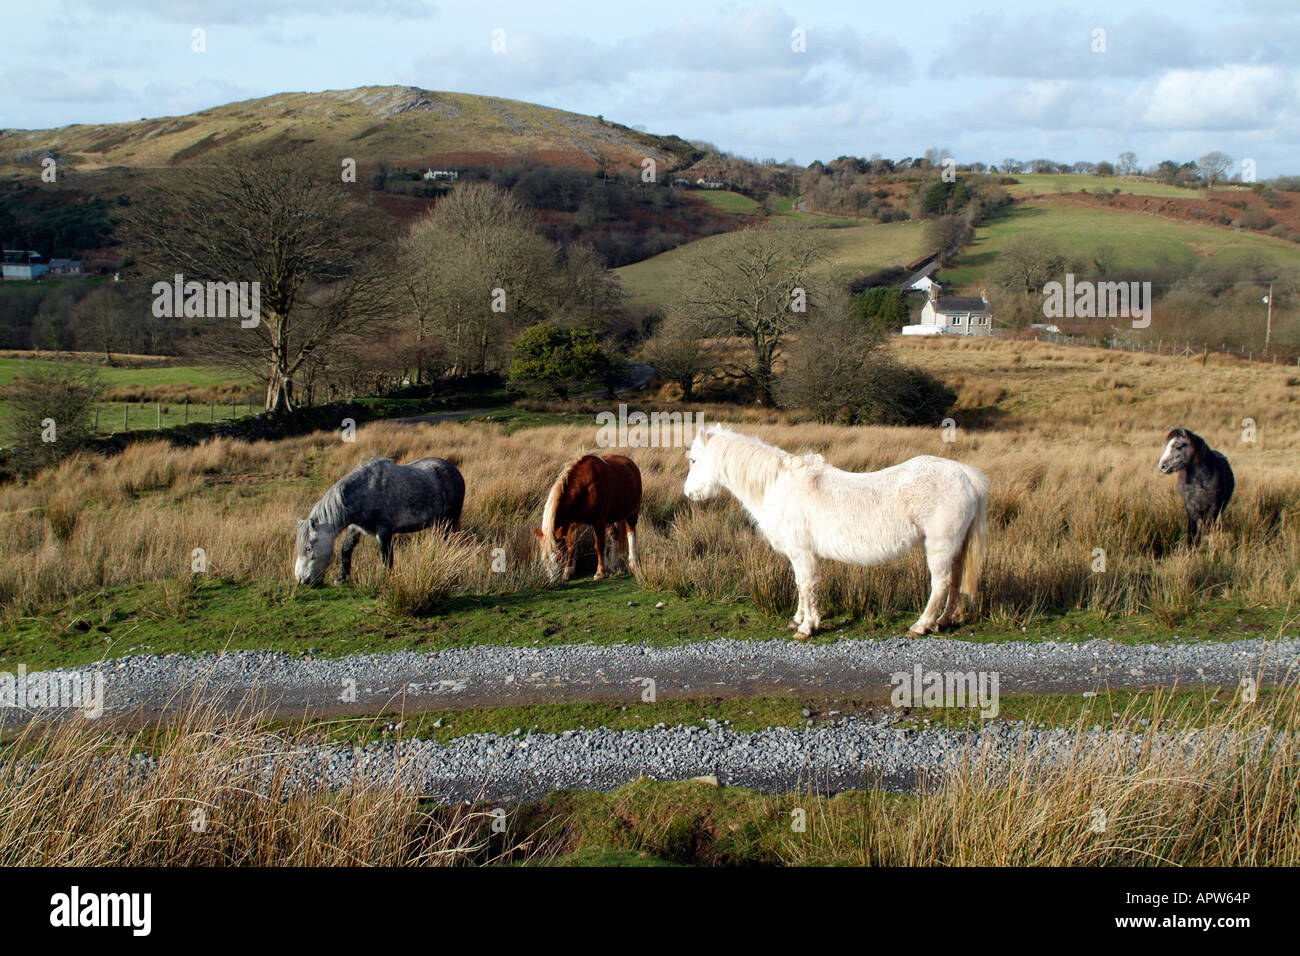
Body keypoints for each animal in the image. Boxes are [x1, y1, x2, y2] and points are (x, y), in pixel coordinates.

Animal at [294, 457, 465, 585]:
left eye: (308, 548)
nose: (301, 579)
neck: (365, 491)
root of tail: (455, 471)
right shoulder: (355, 528)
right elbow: (346, 550)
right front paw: (341, 578)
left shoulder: (384, 532)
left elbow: (386, 557)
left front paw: (387, 579)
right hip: (438, 523)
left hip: (448, 521)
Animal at [535, 453, 642, 582]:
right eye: (544, 558)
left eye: (559, 557)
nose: (553, 581)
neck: (584, 487)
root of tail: (631, 464)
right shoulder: (571, 524)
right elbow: (571, 547)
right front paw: (567, 572)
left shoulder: (598, 522)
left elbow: (599, 546)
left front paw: (600, 573)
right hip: (610, 520)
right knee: (614, 535)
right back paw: (612, 565)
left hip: (632, 514)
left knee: (631, 534)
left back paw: (634, 564)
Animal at [682, 424, 988, 639]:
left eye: (694, 460)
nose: (688, 494)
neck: (780, 486)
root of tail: (965, 474)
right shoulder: (799, 555)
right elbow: (800, 586)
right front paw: (798, 619)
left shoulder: (802, 553)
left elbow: (807, 586)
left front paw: (807, 627)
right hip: (956, 545)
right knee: (956, 581)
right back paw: (945, 621)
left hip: (939, 544)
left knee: (941, 583)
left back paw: (921, 625)